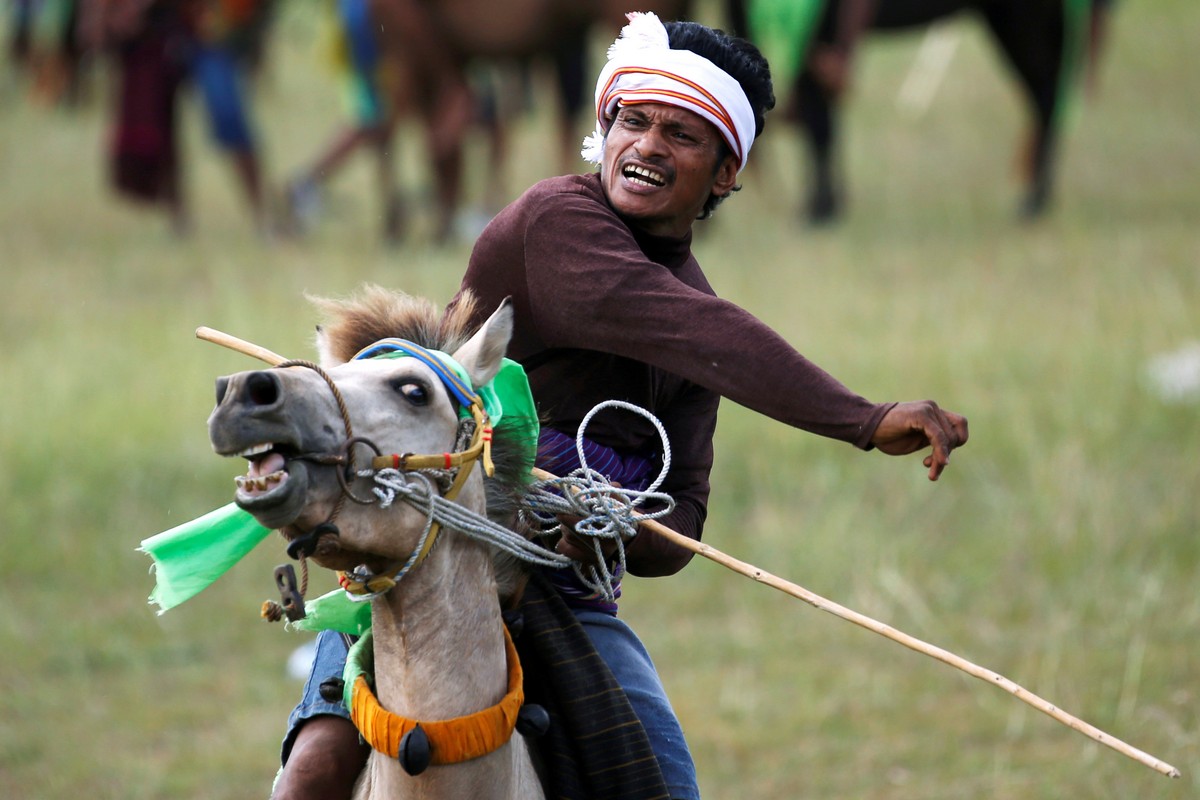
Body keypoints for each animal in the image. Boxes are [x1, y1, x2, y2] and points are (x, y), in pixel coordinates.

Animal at [748, 0, 1113, 224]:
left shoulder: (821, 31)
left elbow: (819, 122)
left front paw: (820, 211)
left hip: (1024, 21)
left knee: (1047, 97)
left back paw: (1034, 201)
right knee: (1047, 99)